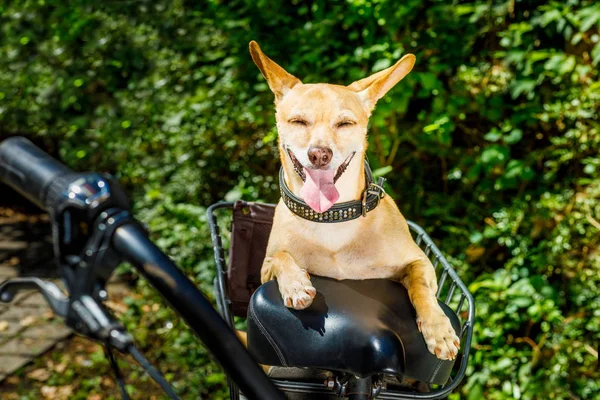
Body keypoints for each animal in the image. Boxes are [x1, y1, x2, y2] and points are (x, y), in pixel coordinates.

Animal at [248, 40, 460, 360]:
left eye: (345, 123)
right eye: (298, 121)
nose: (319, 154)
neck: (332, 216)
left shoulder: (419, 261)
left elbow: (421, 287)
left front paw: (438, 328)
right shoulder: (265, 267)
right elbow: (283, 257)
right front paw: (296, 284)